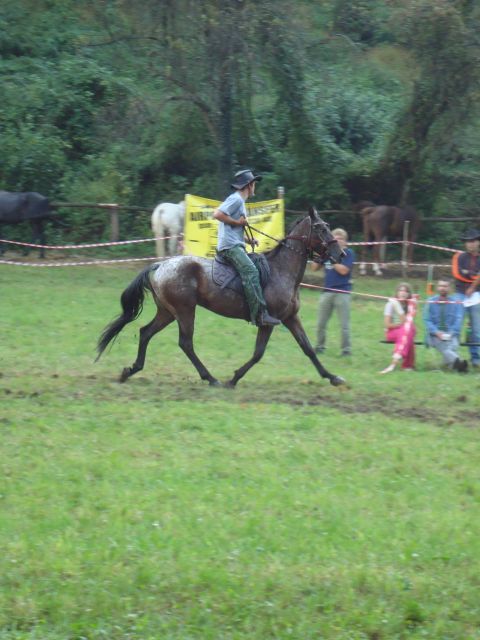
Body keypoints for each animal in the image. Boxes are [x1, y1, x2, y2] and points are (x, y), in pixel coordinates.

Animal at [95, 210, 346, 388]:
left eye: (328, 227)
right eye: (320, 228)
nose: (341, 254)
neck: (281, 271)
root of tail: (160, 265)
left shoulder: (291, 318)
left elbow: (308, 348)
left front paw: (332, 377)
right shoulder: (268, 321)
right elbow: (258, 353)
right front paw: (233, 379)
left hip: (167, 312)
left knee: (146, 332)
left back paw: (131, 370)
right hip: (185, 311)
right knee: (185, 343)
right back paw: (211, 378)